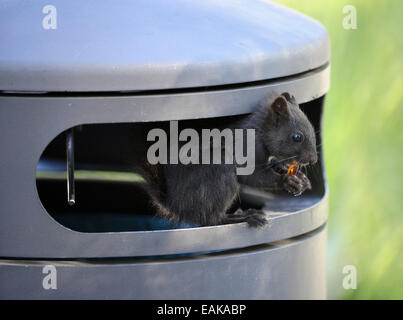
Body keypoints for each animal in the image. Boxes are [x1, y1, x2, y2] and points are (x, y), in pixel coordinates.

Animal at [142, 92, 318, 228]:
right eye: (297, 137)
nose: (313, 160)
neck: (259, 131)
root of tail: (175, 206)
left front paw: (301, 179)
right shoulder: (245, 148)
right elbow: (252, 176)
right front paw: (287, 181)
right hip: (217, 169)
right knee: (211, 220)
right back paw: (245, 216)